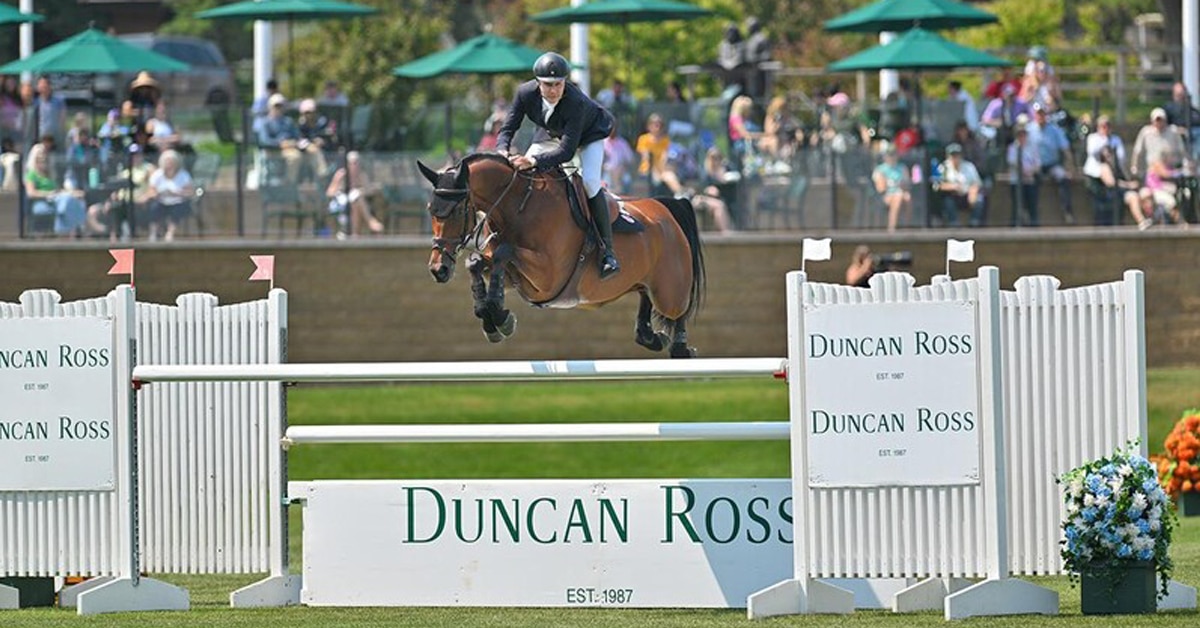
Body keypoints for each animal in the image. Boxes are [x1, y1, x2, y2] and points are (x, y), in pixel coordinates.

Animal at [417, 152, 705, 358]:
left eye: (456, 211)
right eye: (431, 209)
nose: (438, 269)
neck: (518, 206)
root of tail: (665, 207)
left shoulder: (547, 276)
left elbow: (503, 252)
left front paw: (499, 316)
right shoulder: (517, 278)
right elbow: (476, 262)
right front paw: (490, 316)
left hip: (668, 291)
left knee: (678, 310)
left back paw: (680, 348)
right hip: (643, 281)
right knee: (644, 297)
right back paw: (652, 337)